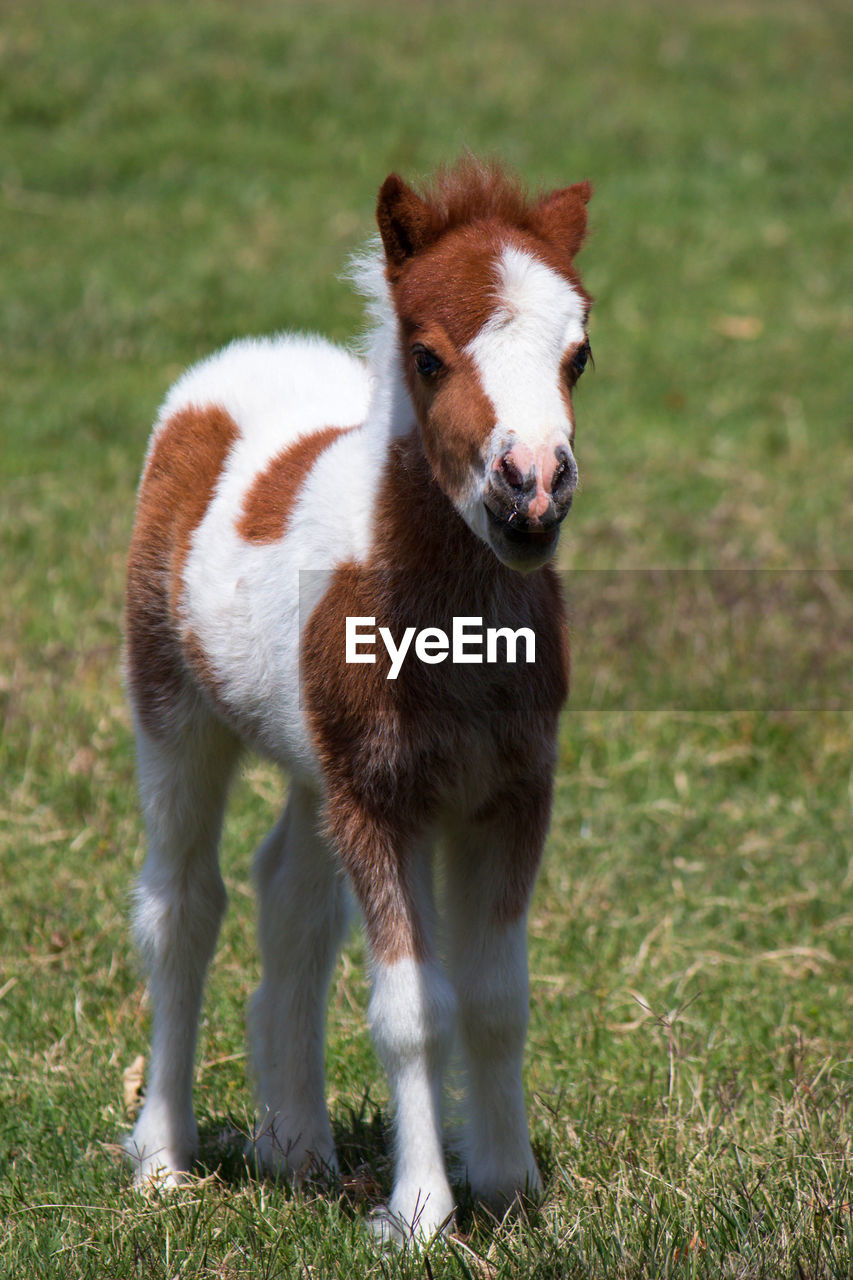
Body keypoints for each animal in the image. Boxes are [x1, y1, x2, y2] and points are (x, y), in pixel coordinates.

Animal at [122, 157, 591, 1239]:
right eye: (426, 357)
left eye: (579, 355)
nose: (531, 493)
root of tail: (245, 359)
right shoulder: (385, 804)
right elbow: (413, 1010)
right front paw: (419, 1213)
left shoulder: (511, 794)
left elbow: (497, 997)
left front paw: (509, 1187)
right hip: (172, 711)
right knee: (182, 904)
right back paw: (162, 1157)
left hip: (313, 763)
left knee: (290, 895)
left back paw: (296, 1146)